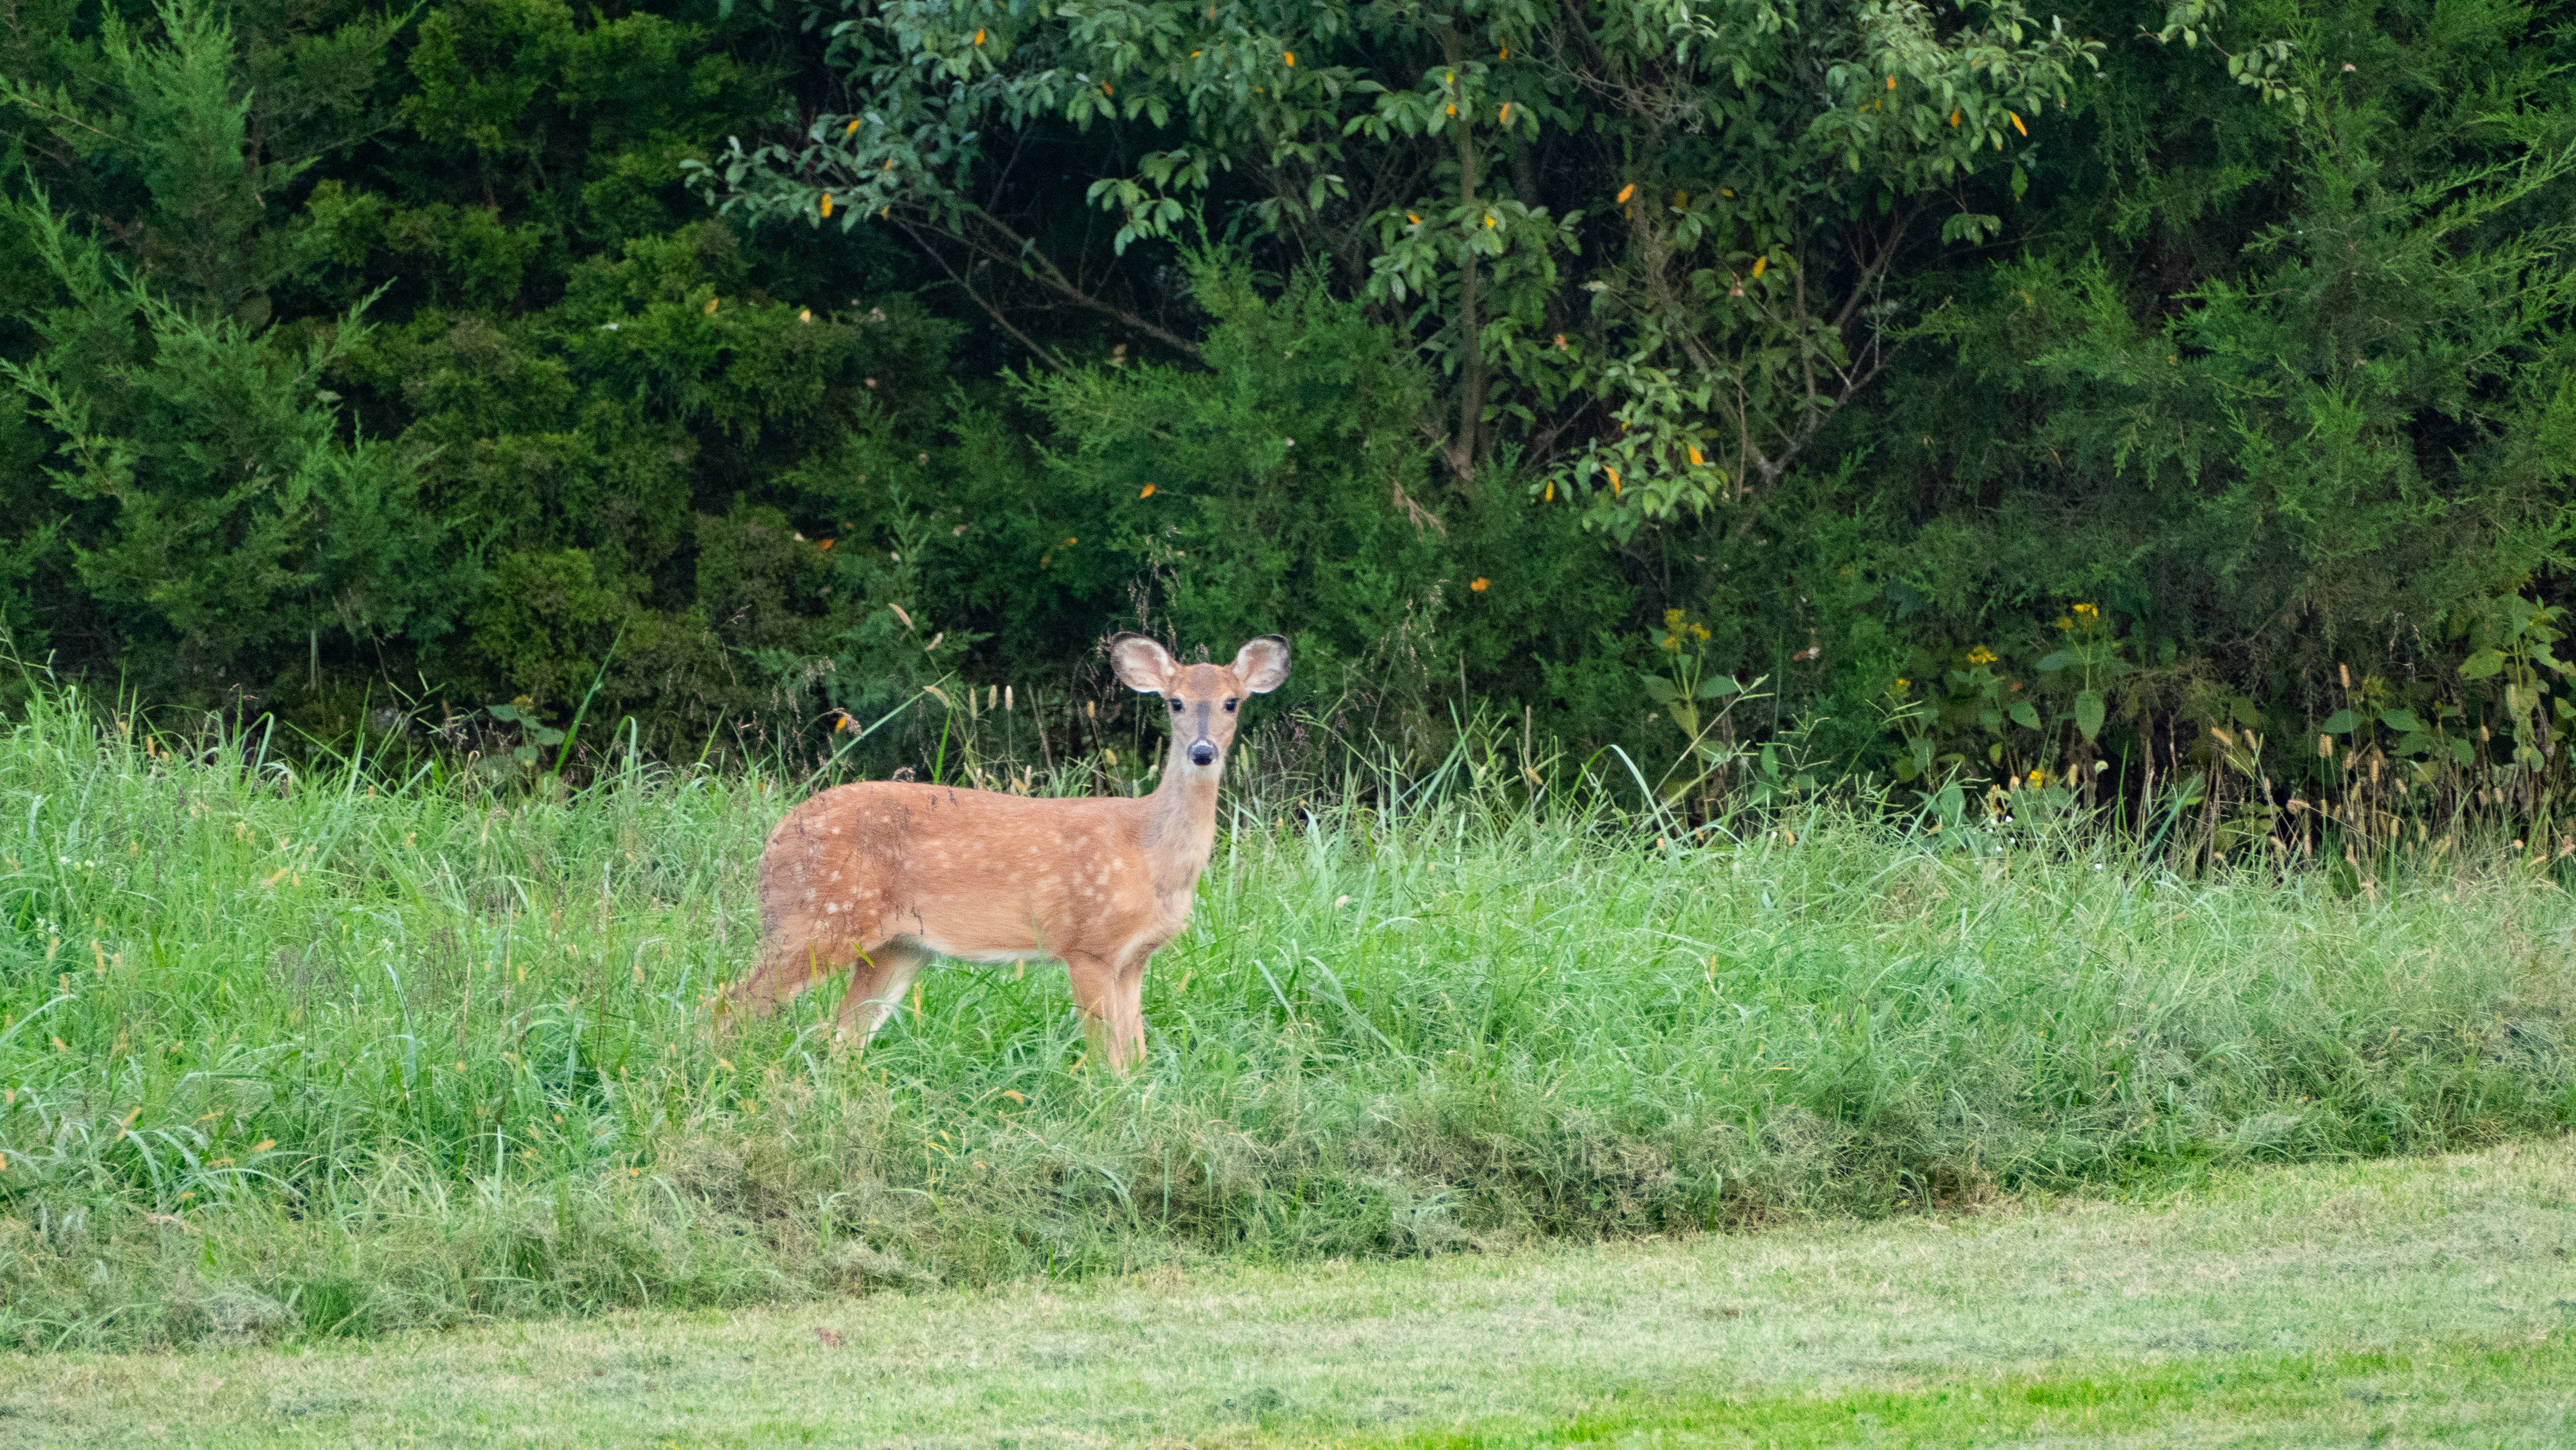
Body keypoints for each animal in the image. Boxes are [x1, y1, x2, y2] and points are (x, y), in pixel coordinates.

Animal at [725, 633, 1290, 1071]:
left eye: (1232, 702)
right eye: (1174, 702)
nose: (1202, 751)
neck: (1150, 855)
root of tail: (774, 839)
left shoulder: (1134, 958)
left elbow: (1136, 1056)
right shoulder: (1086, 944)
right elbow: (1106, 1059)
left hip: (897, 947)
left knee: (843, 1035)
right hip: (818, 918)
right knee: (733, 1006)